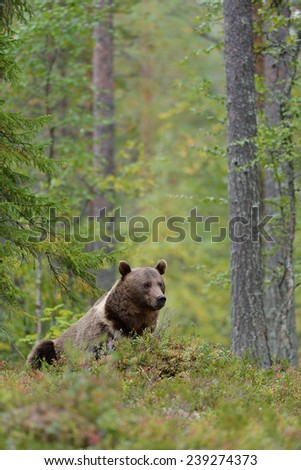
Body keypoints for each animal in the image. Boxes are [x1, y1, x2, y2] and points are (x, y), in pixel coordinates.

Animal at [26, 258, 166, 370]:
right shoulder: (101, 332)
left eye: (160, 283)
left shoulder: (145, 328)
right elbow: (93, 354)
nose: (160, 298)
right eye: (146, 284)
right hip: (57, 347)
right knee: (42, 349)